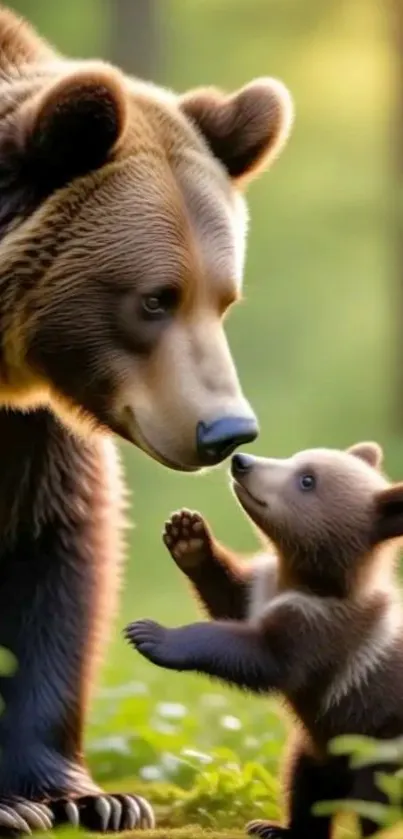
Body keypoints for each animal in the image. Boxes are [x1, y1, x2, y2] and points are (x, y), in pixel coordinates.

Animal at [0, 3, 293, 834]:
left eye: (222, 297)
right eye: (154, 298)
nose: (225, 430)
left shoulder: (38, 429)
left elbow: (59, 551)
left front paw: (81, 795)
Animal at [127, 442, 403, 838]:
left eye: (307, 480)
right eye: (298, 460)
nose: (242, 461)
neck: (301, 580)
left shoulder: (321, 629)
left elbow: (260, 656)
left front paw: (152, 635)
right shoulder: (263, 588)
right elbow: (230, 598)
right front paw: (187, 535)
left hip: (379, 745)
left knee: (374, 802)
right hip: (317, 744)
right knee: (306, 783)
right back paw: (276, 828)